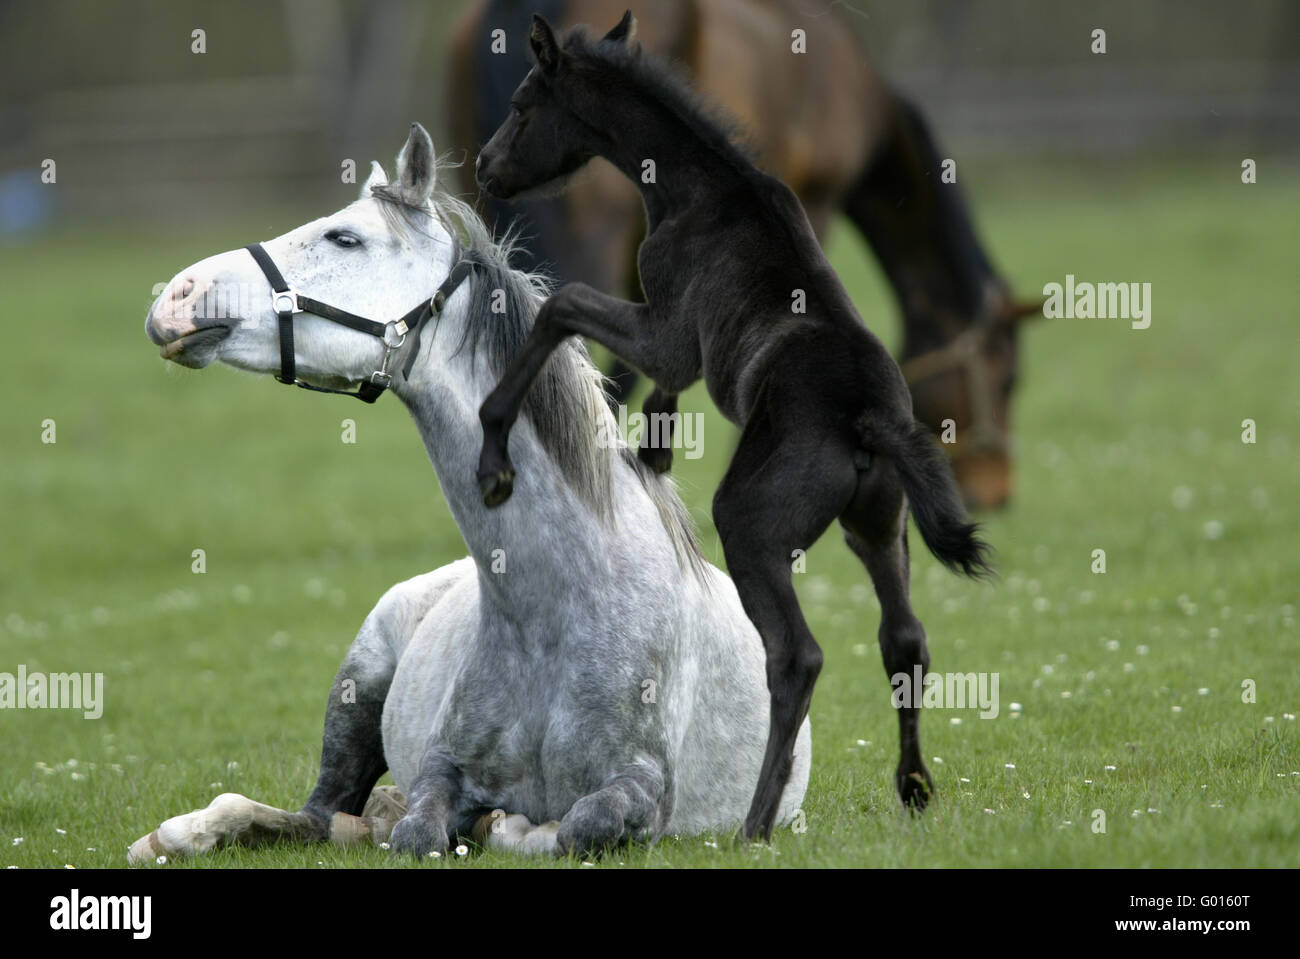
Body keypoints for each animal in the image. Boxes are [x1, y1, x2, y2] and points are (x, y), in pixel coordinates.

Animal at [130, 122, 810, 861]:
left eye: (346, 238)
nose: (176, 298)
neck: (558, 610)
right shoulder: (442, 768)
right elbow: (417, 830)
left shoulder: (642, 790)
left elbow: (574, 826)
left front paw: (508, 826)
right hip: (358, 685)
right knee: (316, 815)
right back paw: (181, 832)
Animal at [475, 13, 992, 840]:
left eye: (524, 105)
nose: (486, 167)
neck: (700, 188)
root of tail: (870, 416)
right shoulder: (680, 348)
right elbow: (652, 386)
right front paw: (651, 450)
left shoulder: (666, 332)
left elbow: (564, 307)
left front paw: (494, 456)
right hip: (879, 527)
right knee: (904, 640)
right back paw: (913, 786)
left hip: (752, 526)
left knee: (797, 656)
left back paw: (756, 818)